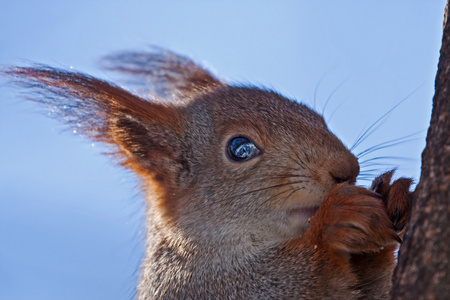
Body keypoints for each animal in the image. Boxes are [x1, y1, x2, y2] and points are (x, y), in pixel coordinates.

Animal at [4, 48, 412, 298]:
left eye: (317, 117)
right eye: (240, 148)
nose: (347, 170)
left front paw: (393, 194)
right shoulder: (203, 288)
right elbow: (296, 283)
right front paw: (335, 221)